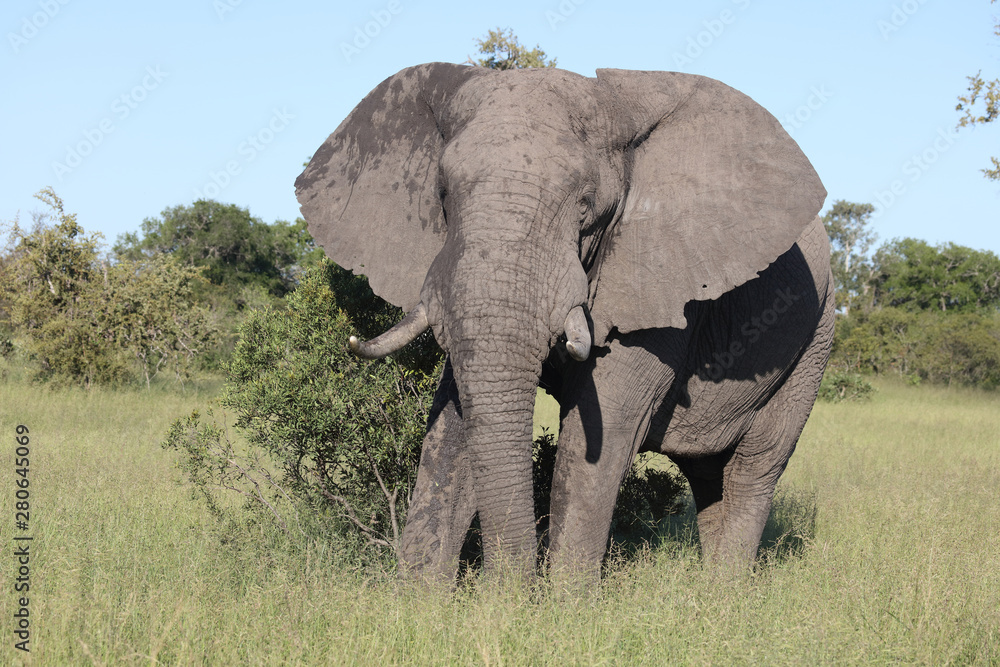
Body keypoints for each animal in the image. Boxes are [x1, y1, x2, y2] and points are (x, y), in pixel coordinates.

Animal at [295, 62, 833, 582]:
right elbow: (453, 429)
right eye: (443, 196)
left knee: (754, 466)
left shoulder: (658, 294)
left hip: (816, 340)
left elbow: (596, 442)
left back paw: (725, 594)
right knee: (709, 476)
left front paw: (565, 604)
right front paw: (418, 601)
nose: (502, 591)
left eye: (585, 207)